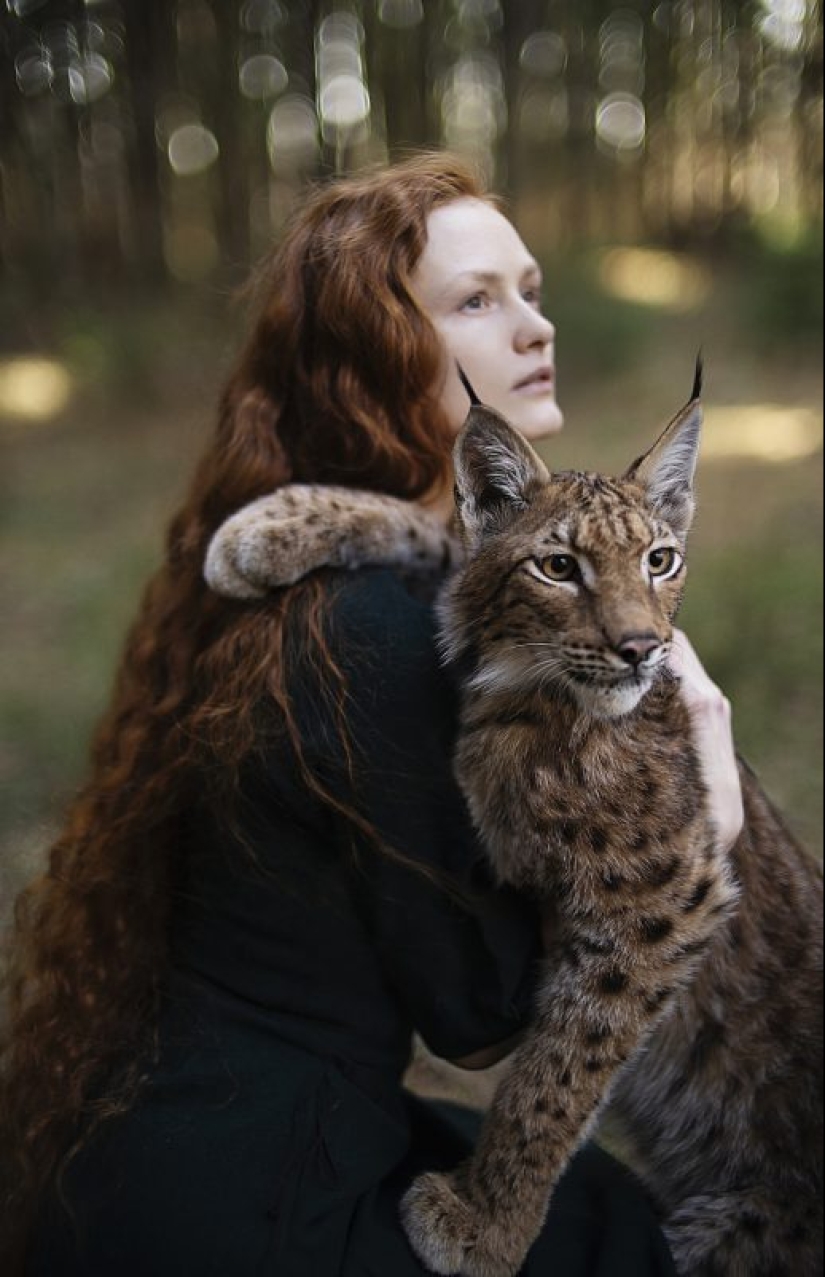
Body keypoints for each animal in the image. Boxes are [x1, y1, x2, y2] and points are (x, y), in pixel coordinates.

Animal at [203, 383, 822, 1271]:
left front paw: (484, 1222)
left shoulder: (664, 899)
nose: (642, 648)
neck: (523, 679)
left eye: (659, 561)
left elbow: (559, 1066)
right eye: (558, 567)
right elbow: (443, 537)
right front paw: (272, 527)